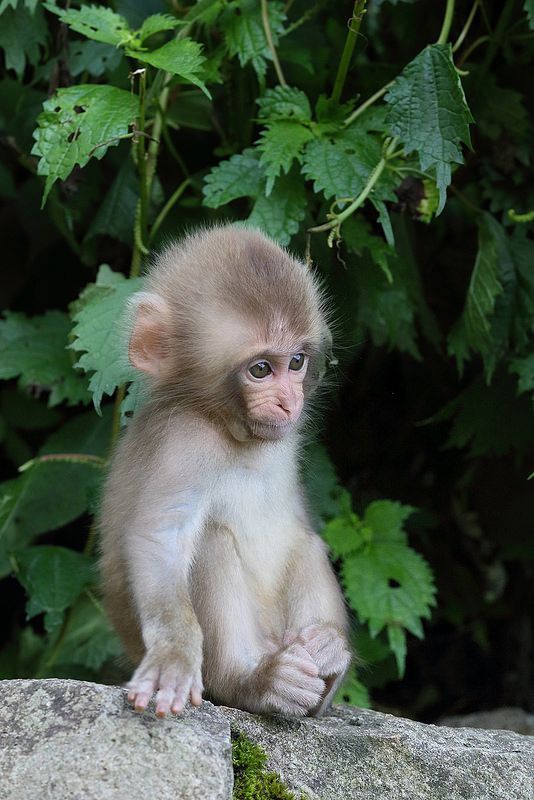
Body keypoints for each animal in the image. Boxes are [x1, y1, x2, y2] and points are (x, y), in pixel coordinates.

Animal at [100, 225, 352, 720]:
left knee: (304, 541)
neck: (228, 427)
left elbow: (300, 520)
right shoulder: (184, 441)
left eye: (296, 362)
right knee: (212, 541)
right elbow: (161, 537)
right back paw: (252, 684)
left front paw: (331, 645)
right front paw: (174, 655)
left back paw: (327, 664)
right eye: (261, 369)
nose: (289, 402)